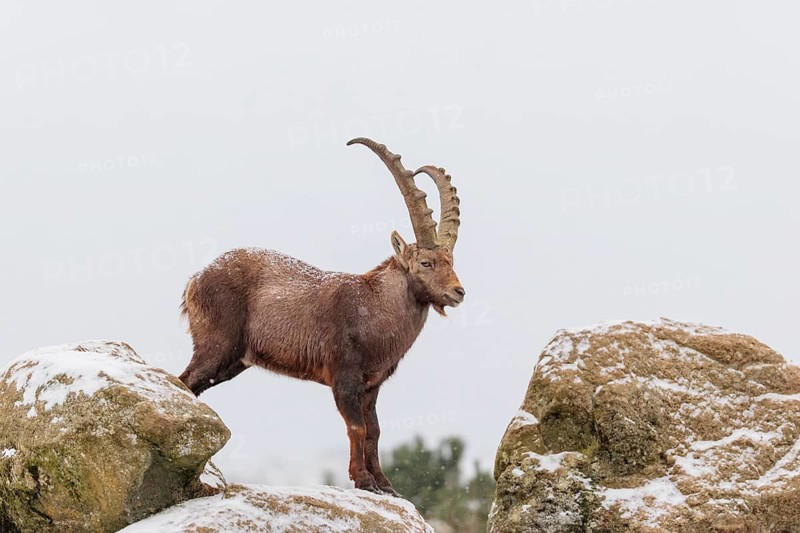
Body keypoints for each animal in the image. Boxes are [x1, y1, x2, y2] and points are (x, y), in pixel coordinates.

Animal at [178, 138, 464, 495]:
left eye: (452, 261)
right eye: (426, 263)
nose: (458, 292)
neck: (373, 308)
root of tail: (195, 280)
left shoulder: (372, 386)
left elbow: (375, 430)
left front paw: (386, 485)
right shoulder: (344, 376)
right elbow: (356, 428)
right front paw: (363, 480)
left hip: (234, 362)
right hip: (216, 346)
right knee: (185, 381)